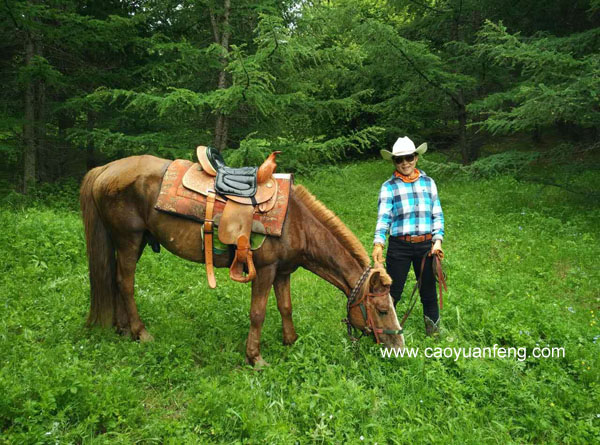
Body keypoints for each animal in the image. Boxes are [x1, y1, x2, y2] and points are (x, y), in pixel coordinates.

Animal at [78, 153, 404, 364]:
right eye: (382, 310)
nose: (399, 347)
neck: (296, 222)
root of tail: (105, 169)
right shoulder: (265, 270)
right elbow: (258, 313)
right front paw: (255, 358)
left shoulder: (283, 272)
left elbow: (285, 307)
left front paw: (290, 342)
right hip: (129, 239)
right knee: (125, 283)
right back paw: (140, 332)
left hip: (131, 242)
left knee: (116, 281)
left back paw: (123, 330)